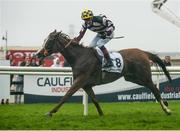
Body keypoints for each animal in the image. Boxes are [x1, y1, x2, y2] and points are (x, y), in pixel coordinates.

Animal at [34, 29, 172, 116]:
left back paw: (166, 109)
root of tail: (143, 52)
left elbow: (66, 95)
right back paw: (165, 103)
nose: (37, 55)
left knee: (154, 88)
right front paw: (101, 115)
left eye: (49, 41)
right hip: (133, 78)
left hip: (143, 76)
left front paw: (50, 112)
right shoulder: (86, 85)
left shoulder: (80, 81)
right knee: (153, 88)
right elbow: (95, 100)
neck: (79, 57)